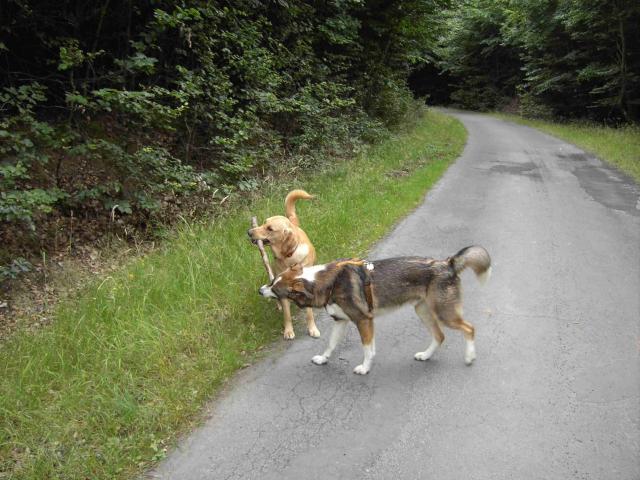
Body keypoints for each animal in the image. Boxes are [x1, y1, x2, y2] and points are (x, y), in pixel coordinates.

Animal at [249, 189, 320, 340]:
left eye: (270, 228)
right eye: (264, 223)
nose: (249, 232)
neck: (290, 256)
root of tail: (292, 222)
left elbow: (309, 313)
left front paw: (312, 329)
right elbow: (287, 315)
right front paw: (288, 331)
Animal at [258, 248, 492, 376]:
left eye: (275, 289)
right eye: (272, 281)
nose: (260, 291)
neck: (328, 282)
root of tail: (448, 264)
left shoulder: (364, 320)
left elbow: (367, 349)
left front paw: (364, 368)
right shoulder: (340, 321)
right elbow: (331, 345)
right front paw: (323, 359)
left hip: (444, 313)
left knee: (469, 329)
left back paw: (469, 357)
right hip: (423, 311)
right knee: (440, 336)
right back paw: (425, 355)